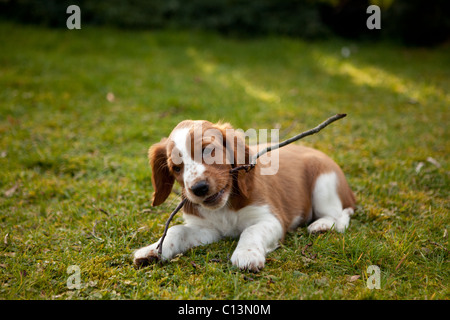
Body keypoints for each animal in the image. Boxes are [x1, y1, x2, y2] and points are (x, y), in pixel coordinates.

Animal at [133, 119, 356, 270]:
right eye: (176, 168)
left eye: (207, 150)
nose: (199, 188)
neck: (226, 205)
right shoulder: (206, 229)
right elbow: (176, 230)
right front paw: (153, 249)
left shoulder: (271, 219)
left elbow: (251, 230)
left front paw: (246, 255)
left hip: (324, 184)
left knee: (342, 215)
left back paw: (321, 225)